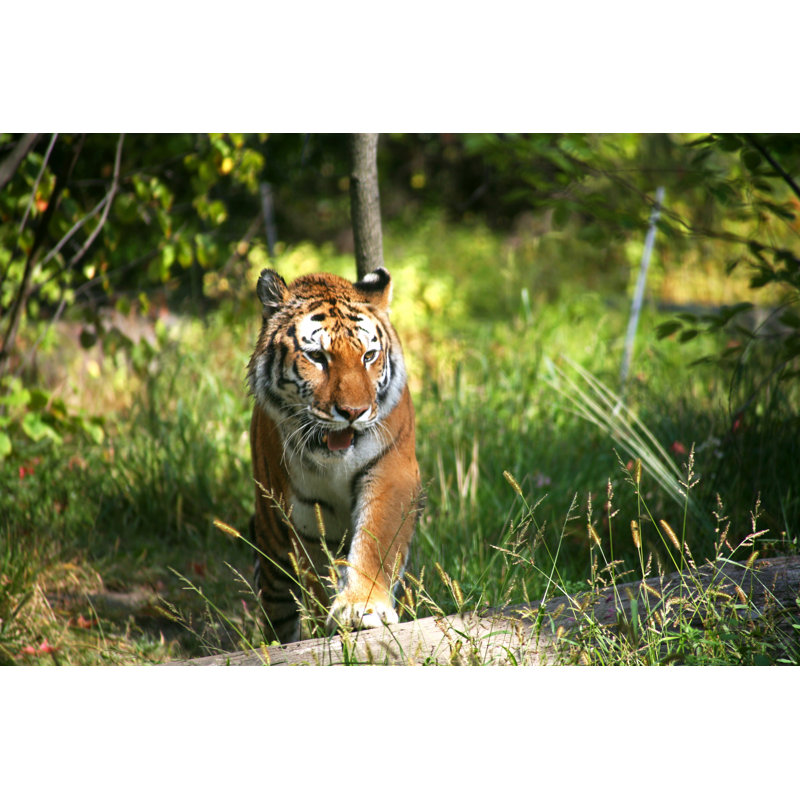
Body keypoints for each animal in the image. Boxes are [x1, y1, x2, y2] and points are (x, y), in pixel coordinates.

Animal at [247, 266, 421, 644]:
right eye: (317, 357)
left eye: (368, 356)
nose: (353, 412)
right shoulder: (306, 509)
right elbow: (315, 576)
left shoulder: (391, 473)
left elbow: (374, 542)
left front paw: (362, 607)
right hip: (272, 548)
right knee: (278, 609)